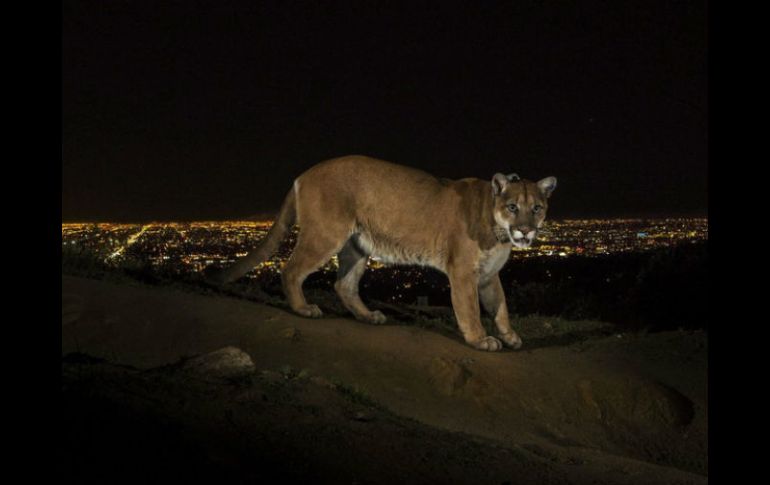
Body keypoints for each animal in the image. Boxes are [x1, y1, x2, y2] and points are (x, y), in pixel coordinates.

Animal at [213, 155, 556, 352]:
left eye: (536, 208)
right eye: (513, 207)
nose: (526, 231)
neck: (498, 231)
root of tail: (304, 174)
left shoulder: (487, 274)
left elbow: (501, 306)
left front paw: (510, 336)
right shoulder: (463, 272)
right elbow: (470, 309)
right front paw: (480, 339)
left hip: (357, 246)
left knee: (343, 284)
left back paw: (368, 316)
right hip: (326, 234)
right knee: (291, 269)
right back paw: (304, 309)